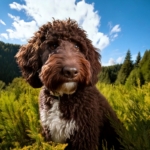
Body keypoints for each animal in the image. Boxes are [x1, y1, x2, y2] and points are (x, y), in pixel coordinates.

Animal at [15, 18, 123, 150]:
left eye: (77, 46)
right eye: (53, 45)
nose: (71, 71)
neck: (62, 98)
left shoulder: (84, 136)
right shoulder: (49, 132)